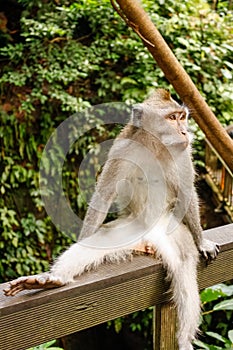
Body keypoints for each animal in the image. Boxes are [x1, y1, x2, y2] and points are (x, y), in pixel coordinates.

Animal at [3, 89, 218, 350]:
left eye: (182, 116)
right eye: (172, 118)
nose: (185, 131)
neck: (155, 145)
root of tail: (150, 239)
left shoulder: (183, 153)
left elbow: (186, 193)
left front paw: (203, 242)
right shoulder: (122, 148)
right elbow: (104, 194)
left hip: (172, 231)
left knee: (185, 269)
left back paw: (185, 339)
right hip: (130, 228)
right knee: (97, 243)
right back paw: (53, 280)